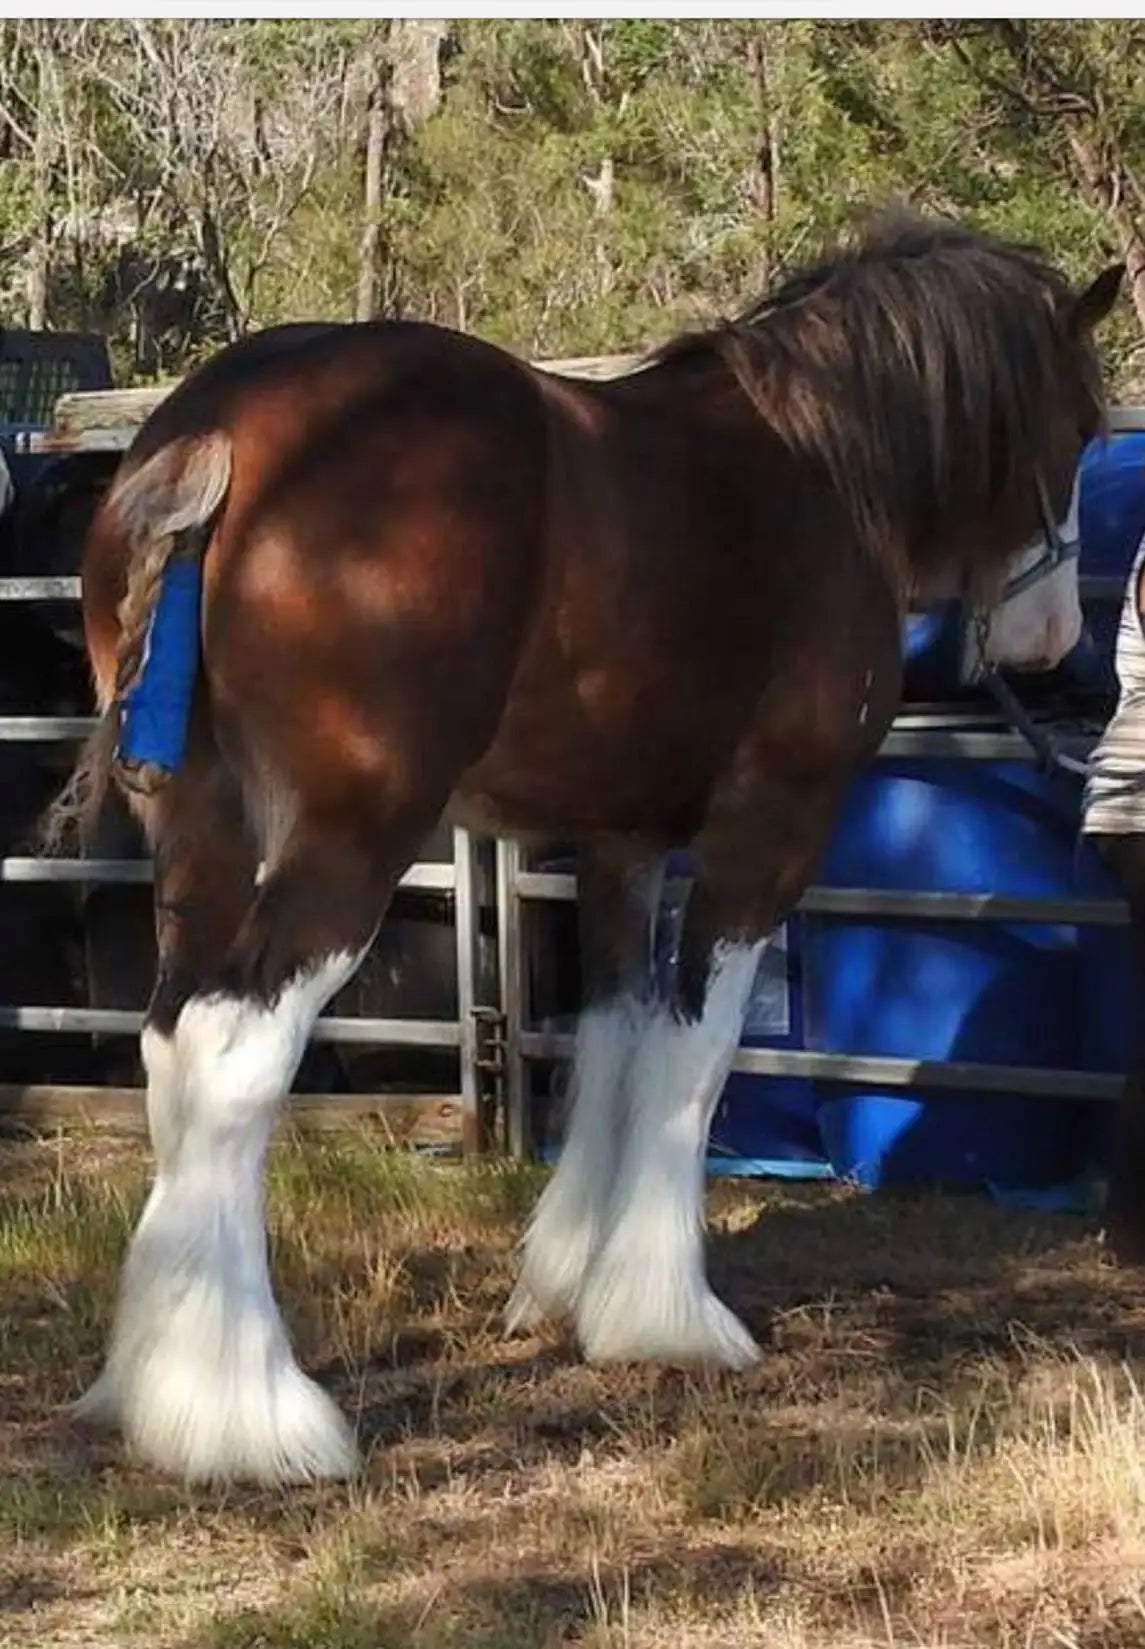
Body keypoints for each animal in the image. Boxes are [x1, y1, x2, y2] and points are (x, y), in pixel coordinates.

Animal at [49, 206, 1128, 1484]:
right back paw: (248, 1413)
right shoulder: (771, 824)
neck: (816, 469)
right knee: (233, 1051)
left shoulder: (619, 843)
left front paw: (569, 1281)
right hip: (347, 841)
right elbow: (693, 1056)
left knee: (172, 1044)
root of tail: (218, 432)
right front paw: (670, 1311)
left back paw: (152, 1386)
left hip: (200, 841)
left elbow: (612, 1033)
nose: (1047, 639)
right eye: (1079, 427)